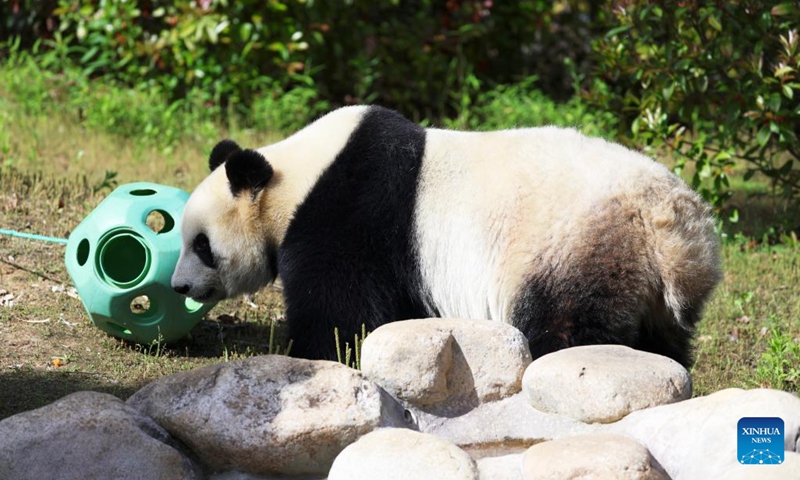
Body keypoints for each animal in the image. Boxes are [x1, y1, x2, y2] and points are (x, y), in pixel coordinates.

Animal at [172, 106, 720, 368]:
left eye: (201, 245)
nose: (179, 287)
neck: (293, 178)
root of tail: (672, 233)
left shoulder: (350, 210)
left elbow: (339, 302)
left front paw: (315, 354)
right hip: (652, 290)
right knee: (662, 342)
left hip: (575, 246)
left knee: (570, 327)